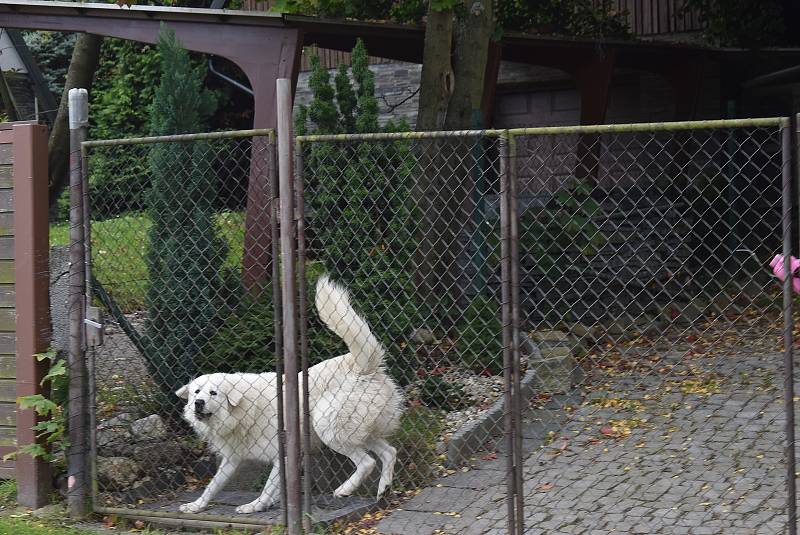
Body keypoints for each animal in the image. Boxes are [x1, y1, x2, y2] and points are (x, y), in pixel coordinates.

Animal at [173, 276, 404, 516]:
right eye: (196, 392)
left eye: (213, 393)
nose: (198, 403)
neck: (241, 410)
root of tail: (360, 366)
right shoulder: (232, 459)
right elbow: (213, 486)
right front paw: (196, 506)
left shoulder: (282, 455)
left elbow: (267, 487)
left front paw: (254, 506)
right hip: (360, 432)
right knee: (389, 452)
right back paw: (383, 489)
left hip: (328, 428)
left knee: (367, 462)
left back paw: (345, 489)